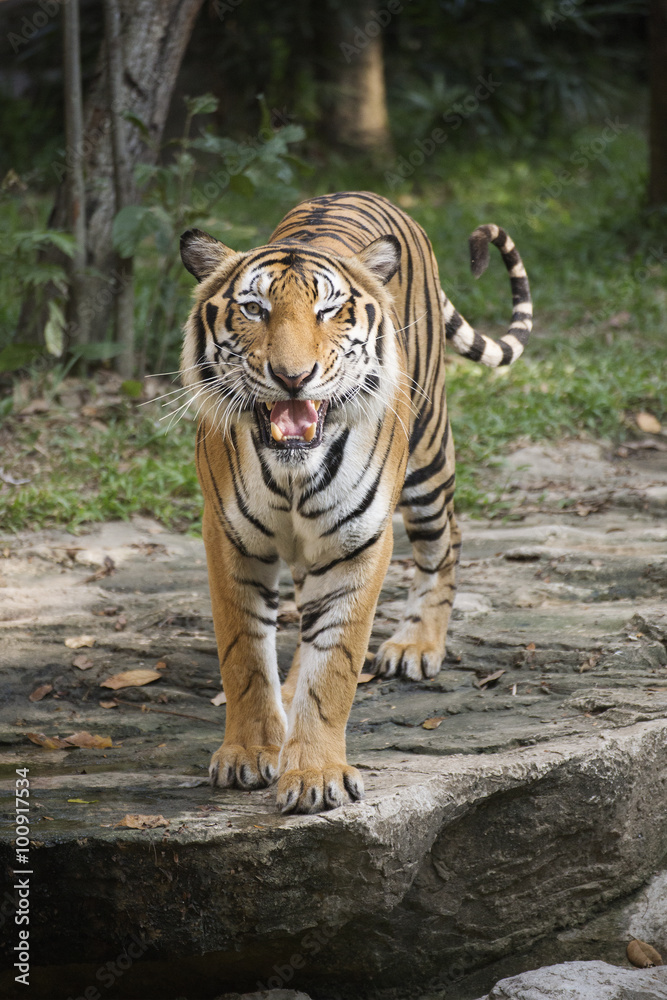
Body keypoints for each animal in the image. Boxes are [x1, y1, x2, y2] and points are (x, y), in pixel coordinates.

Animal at [179, 191, 532, 814]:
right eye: (254, 310)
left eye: (329, 312)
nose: (293, 377)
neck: (293, 469)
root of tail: (369, 194)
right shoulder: (229, 538)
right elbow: (243, 654)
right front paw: (249, 753)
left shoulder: (357, 542)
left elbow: (335, 666)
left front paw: (315, 775)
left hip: (428, 462)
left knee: (446, 543)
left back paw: (416, 644)